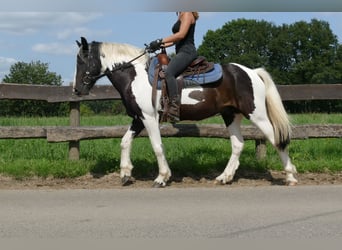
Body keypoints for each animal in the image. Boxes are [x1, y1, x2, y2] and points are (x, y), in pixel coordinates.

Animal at [73, 37, 298, 188]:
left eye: (82, 61)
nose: (77, 90)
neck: (134, 77)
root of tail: (251, 72)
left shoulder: (149, 117)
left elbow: (157, 146)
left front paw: (161, 177)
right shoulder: (138, 118)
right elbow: (124, 142)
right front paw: (126, 174)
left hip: (256, 114)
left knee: (277, 139)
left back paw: (290, 176)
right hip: (231, 115)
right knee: (238, 144)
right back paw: (224, 177)